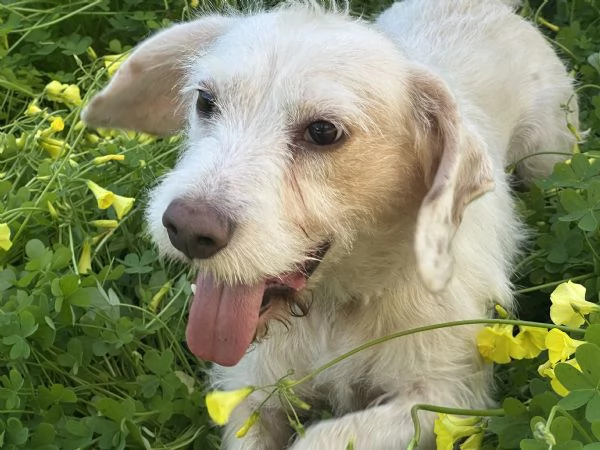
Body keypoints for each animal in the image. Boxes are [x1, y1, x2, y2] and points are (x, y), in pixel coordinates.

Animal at [82, 1, 580, 448]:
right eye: (206, 101)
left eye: (323, 131)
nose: (186, 229)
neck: (335, 308)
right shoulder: (250, 391)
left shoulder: (447, 399)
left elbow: (326, 435)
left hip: (551, 155)